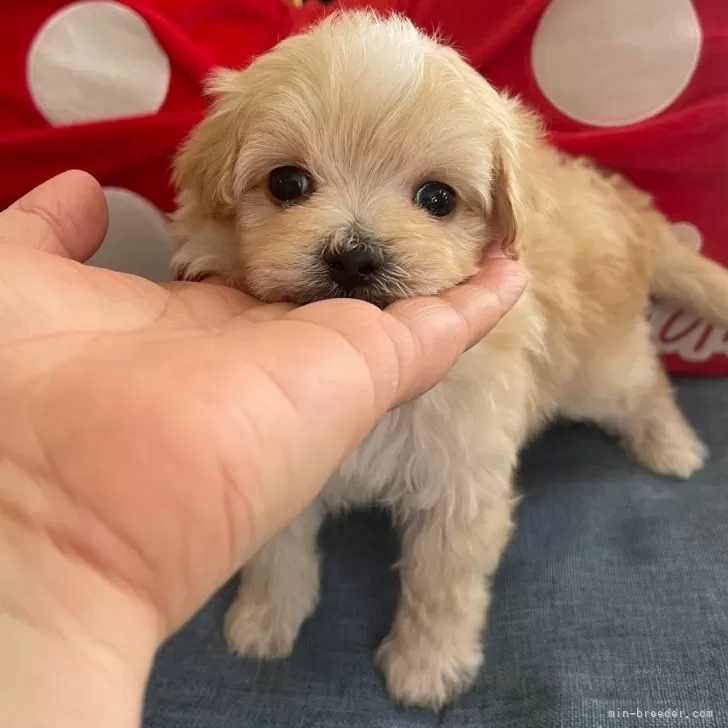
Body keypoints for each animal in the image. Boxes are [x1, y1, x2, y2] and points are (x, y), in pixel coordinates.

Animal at [169, 11, 728, 708]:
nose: (355, 256)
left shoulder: (463, 476)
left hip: (594, 367)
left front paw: (425, 667)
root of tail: (635, 216)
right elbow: (277, 551)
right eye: (287, 183)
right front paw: (265, 621)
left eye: (437, 198)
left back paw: (671, 445)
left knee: (643, 380)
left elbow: (443, 584)